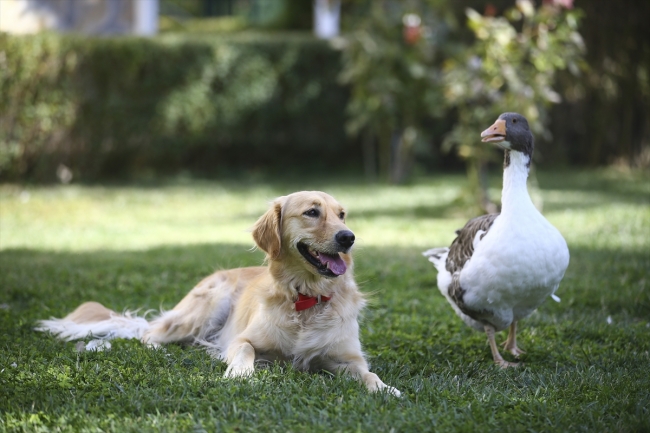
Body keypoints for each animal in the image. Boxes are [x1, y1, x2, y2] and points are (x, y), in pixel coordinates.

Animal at [38, 191, 400, 396]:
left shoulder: (347, 358)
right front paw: (240, 374)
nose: (348, 237)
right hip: (210, 303)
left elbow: (369, 373)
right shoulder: (243, 338)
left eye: (342, 215)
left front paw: (385, 389)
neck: (306, 297)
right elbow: (244, 352)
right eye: (312, 212)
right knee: (148, 336)